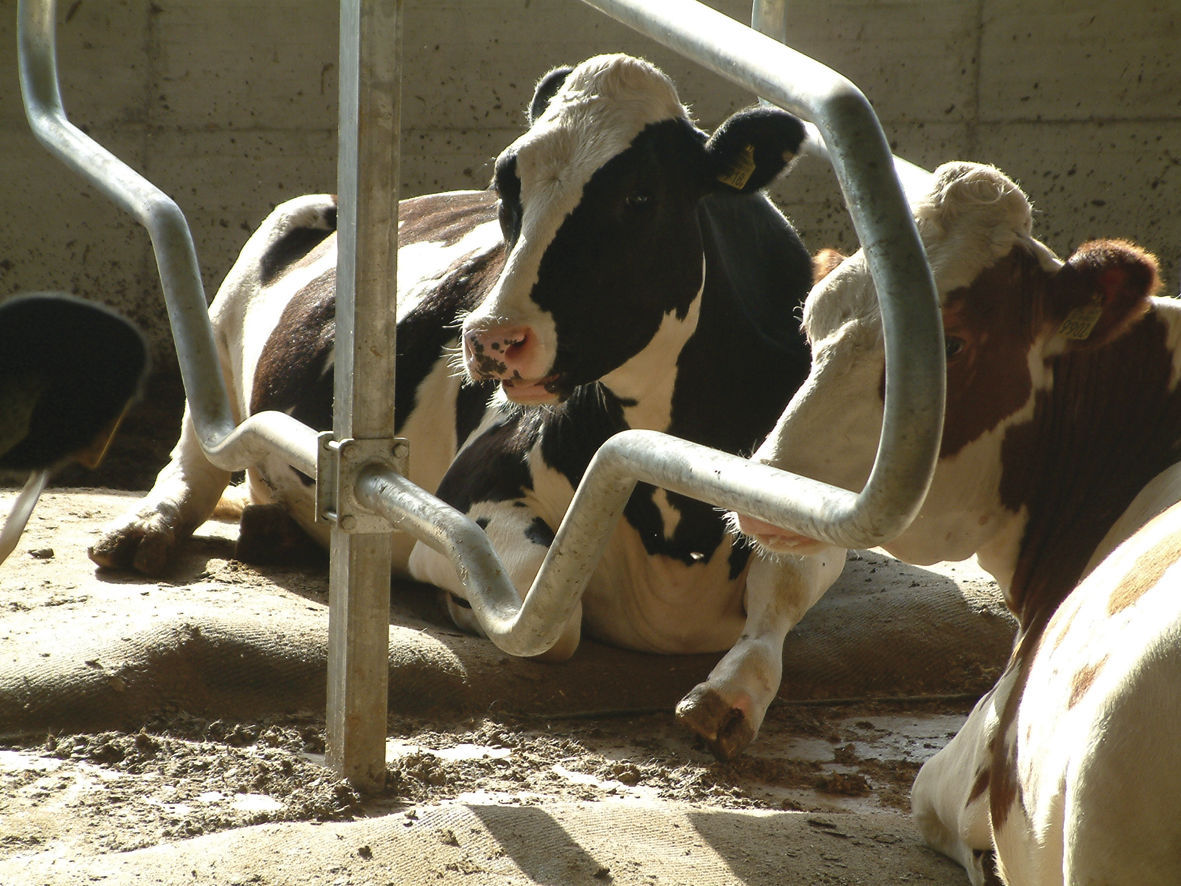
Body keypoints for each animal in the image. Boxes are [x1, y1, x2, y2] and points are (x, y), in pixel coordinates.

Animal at [88, 53, 844, 760]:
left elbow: (785, 584)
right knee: (197, 449)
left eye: (639, 196)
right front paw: (456, 599)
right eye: (508, 184)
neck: (678, 520)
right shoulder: (476, 488)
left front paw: (729, 694)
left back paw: (273, 529)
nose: (490, 337)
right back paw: (145, 530)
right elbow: (547, 613)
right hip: (233, 301)